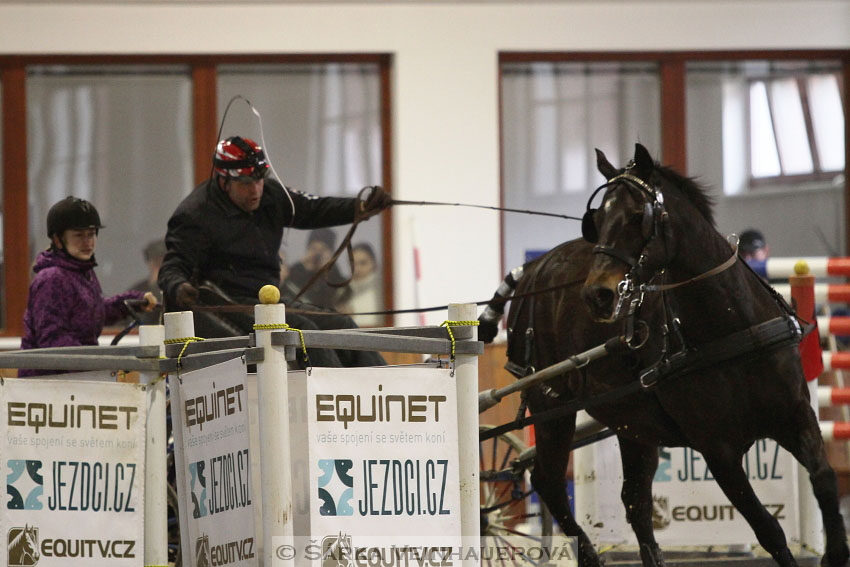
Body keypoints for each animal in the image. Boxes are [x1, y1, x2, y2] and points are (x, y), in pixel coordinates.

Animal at [490, 144, 848, 564]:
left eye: (636, 216)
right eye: (597, 220)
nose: (597, 295)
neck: (731, 326)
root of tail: (535, 266)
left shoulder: (794, 415)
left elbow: (824, 478)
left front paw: (836, 551)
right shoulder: (717, 449)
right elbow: (768, 528)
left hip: (632, 421)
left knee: (635, 502)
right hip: (551, 406)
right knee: (548, 481)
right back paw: (588, 554)